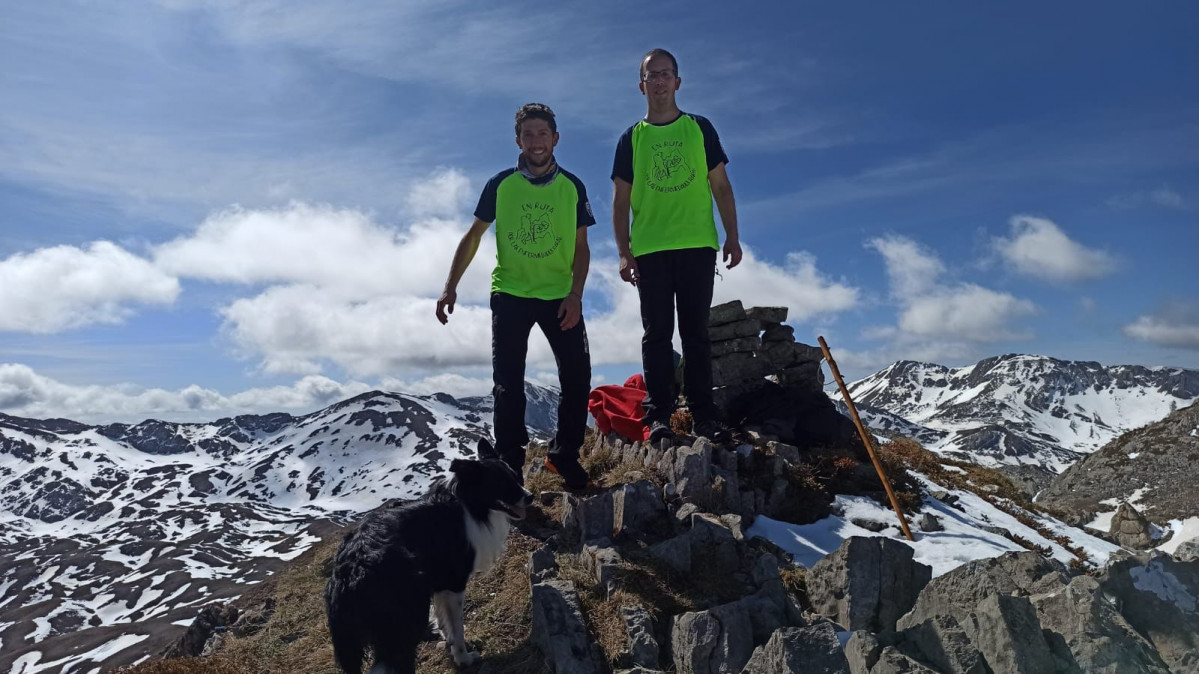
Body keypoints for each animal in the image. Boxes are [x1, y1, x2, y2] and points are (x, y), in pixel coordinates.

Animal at [323, 438, 529, 666]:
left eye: (514, 476)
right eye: (500, 483)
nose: (530, 497)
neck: (467, 506)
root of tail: (347, 575)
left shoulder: (439, 582)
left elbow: (444, 619)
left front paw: (448, 641)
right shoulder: (454, 582)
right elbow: (457, 627)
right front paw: (463, 658)